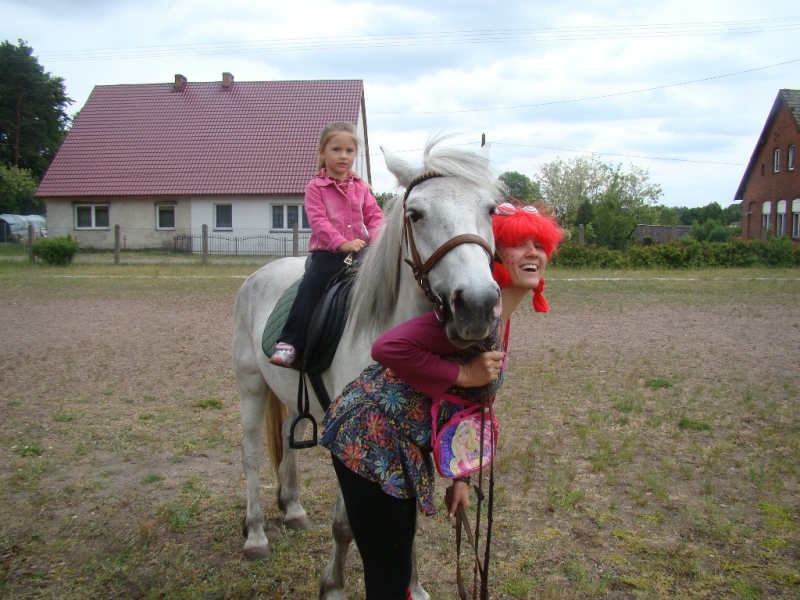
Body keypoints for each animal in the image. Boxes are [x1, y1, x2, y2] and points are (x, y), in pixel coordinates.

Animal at [231, 136, 504, 600]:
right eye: (415, 214)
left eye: (489, 210)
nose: (478, 305)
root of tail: (258, 275)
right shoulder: (350, 437)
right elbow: (346, 525)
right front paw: (333, 586)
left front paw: (416, 588)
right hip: (251, 386)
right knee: (251, 454)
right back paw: (255, 536)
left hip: (289, 396)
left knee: (286, 440)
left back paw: (294, 509)